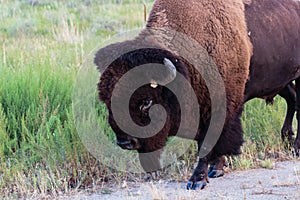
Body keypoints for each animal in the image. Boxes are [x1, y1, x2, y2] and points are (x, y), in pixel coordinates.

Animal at [96, 0, 300, 190]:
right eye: (107, 100)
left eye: (146, 101)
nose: (125, 142)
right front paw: (216, 169)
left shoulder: (217, 109)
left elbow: (207, 144)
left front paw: (197, 180)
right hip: (281, 81)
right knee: (293, 99)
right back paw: (287, 138)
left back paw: (295, 148)